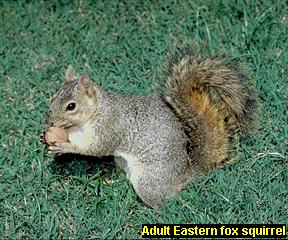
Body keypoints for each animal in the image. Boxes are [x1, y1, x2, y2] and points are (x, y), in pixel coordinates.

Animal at [44, 49, 256, 207]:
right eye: (53, 96)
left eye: (71, 106)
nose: (49, 121)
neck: (94, 114)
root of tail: (185, 173)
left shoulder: (110, 126)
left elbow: (96, 149)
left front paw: (65, 147)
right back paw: (111, 182)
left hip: (148, 180)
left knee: (163, 199)